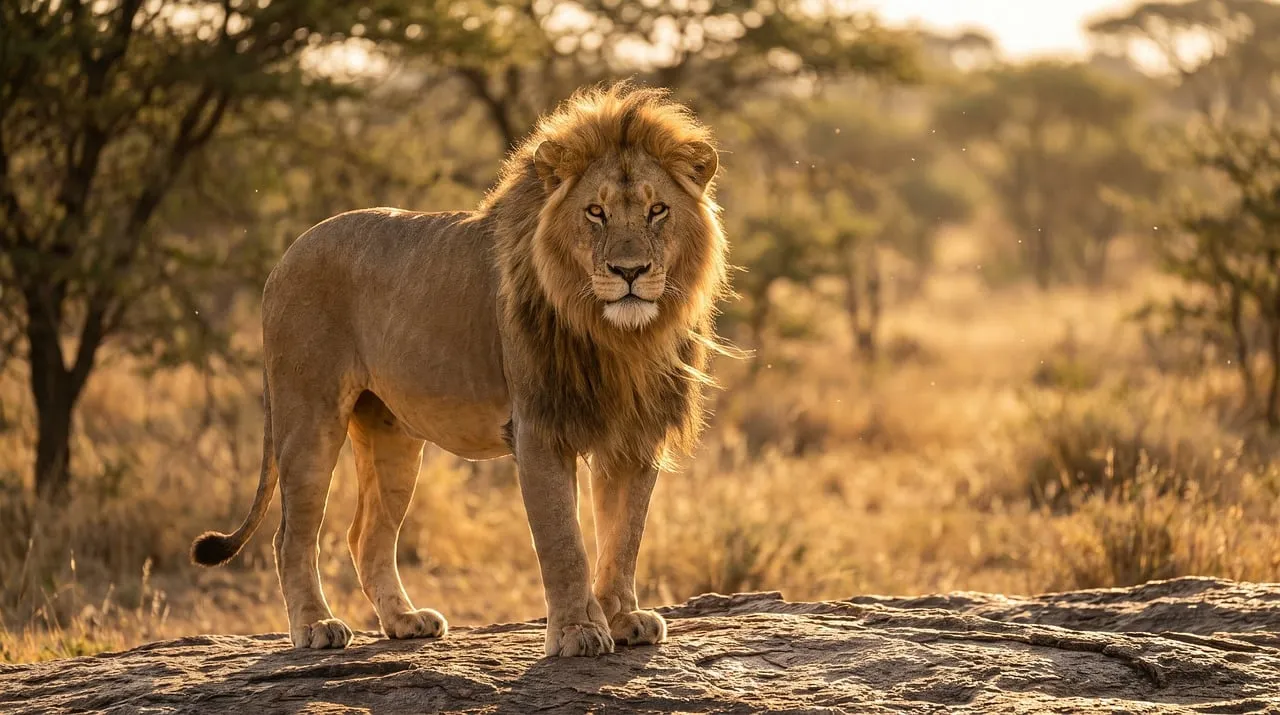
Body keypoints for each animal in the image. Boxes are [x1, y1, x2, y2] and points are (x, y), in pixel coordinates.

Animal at [190, 83, 730, 658]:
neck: (619, 338)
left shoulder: (634, 434)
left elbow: (624, 535)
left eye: (657, 210)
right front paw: (578, 631)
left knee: (366, 535)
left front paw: (623, 618)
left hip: (391, 433)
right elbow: (564, 542)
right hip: (308, 416)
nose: (629, 272)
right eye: (595, 212)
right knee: (291, 534)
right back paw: (316, 625)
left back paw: (404, 620)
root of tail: (285, 256)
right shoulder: (539, 429)